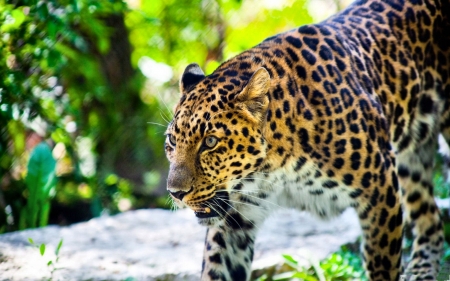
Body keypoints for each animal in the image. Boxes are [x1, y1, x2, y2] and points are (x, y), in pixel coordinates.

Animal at [163, 0, 450, 278]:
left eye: (210, 142)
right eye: (172, 142)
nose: (176, 193)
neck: (274, 169)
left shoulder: (381, 191)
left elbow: (382, 266)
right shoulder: (235, 218)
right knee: (431, 217)